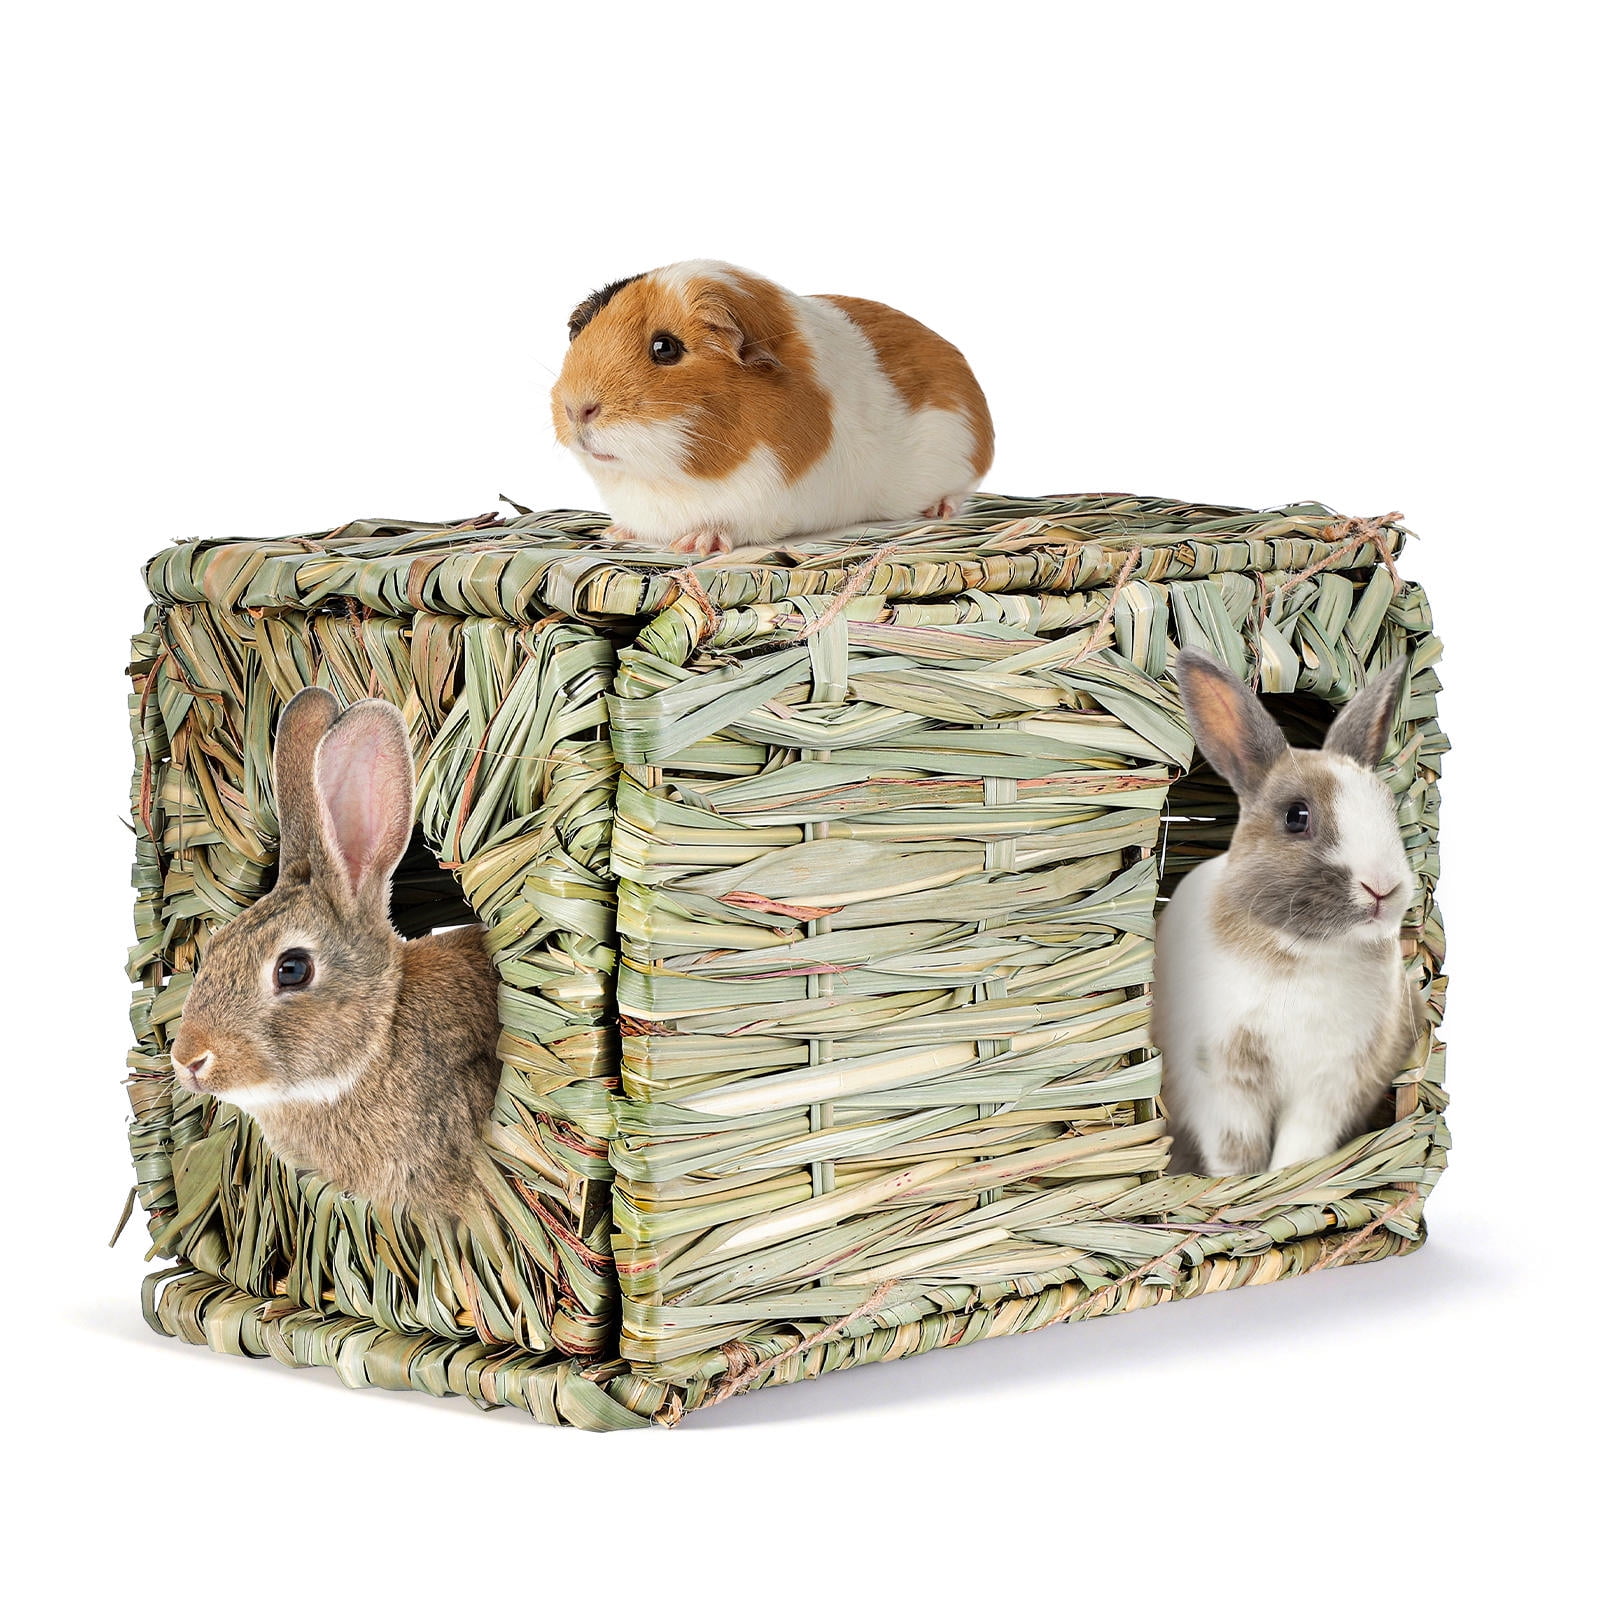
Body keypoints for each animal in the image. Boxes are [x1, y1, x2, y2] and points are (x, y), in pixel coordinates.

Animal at [550, 260, 994, 555]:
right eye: (581, 333)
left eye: (666, 347)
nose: (576, 408)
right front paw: (614, 533)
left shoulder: (763, 503)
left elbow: (727, 523)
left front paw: (694, 544)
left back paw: (939, 511)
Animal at [1151, 649, 1425, 1176]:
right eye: (1297, 817)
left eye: (1388, 808)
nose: (1382, 888)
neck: (1307, 952)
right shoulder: (1221, 1079)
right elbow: (1235, 1149)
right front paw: (1239, 1184)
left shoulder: (1333, 1083)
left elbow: (1302, 1148)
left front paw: (1287, 1178)